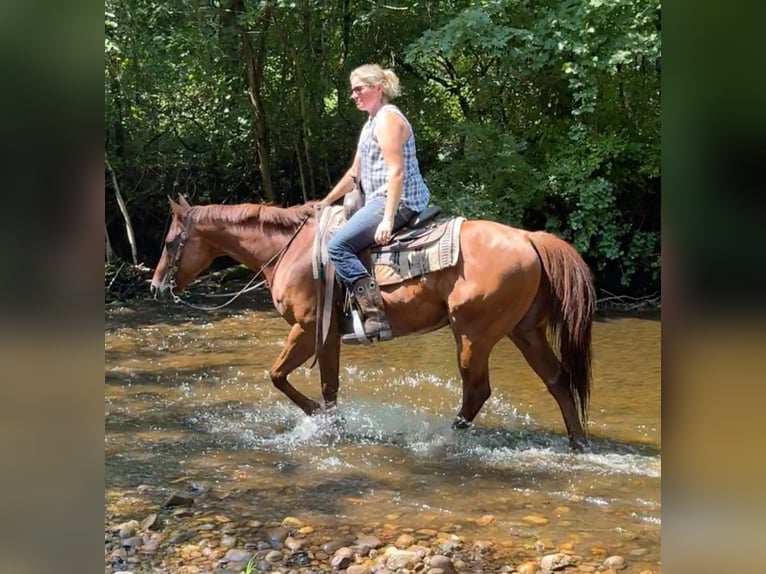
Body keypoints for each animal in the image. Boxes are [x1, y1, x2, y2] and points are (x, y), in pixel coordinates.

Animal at [148, 198, 592, 450]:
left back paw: (438, 440)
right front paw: (331, 424)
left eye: (169, 242)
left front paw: (319, 419)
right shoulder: (327, 336)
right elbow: (328, 386)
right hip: (524, 332)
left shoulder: (307, 329)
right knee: (558, 381)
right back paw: (579, 443)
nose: (155, 286)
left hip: (473, 335)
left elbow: (277, 376)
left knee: (476, 392)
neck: (290, 250)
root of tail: (528, 237)